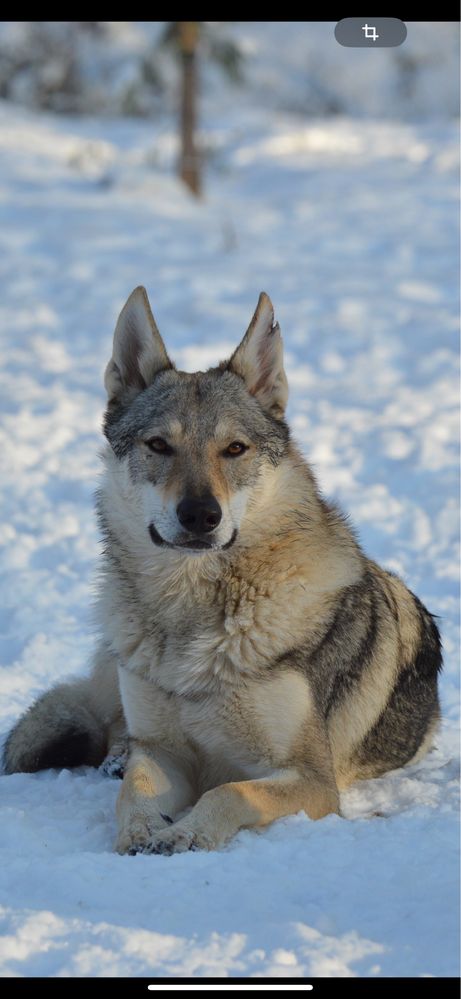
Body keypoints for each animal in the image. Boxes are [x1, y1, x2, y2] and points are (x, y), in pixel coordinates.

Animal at [3, 288, 442, 852]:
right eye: (159, 445)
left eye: (234, 449)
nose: (200, 515)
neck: (197, 618)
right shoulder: (164, 751)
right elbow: (136, 790)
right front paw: (141, 831)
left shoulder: (312, 779)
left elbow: (229, 792)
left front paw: (185, 835)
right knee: (112, 730)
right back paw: (115, 756)